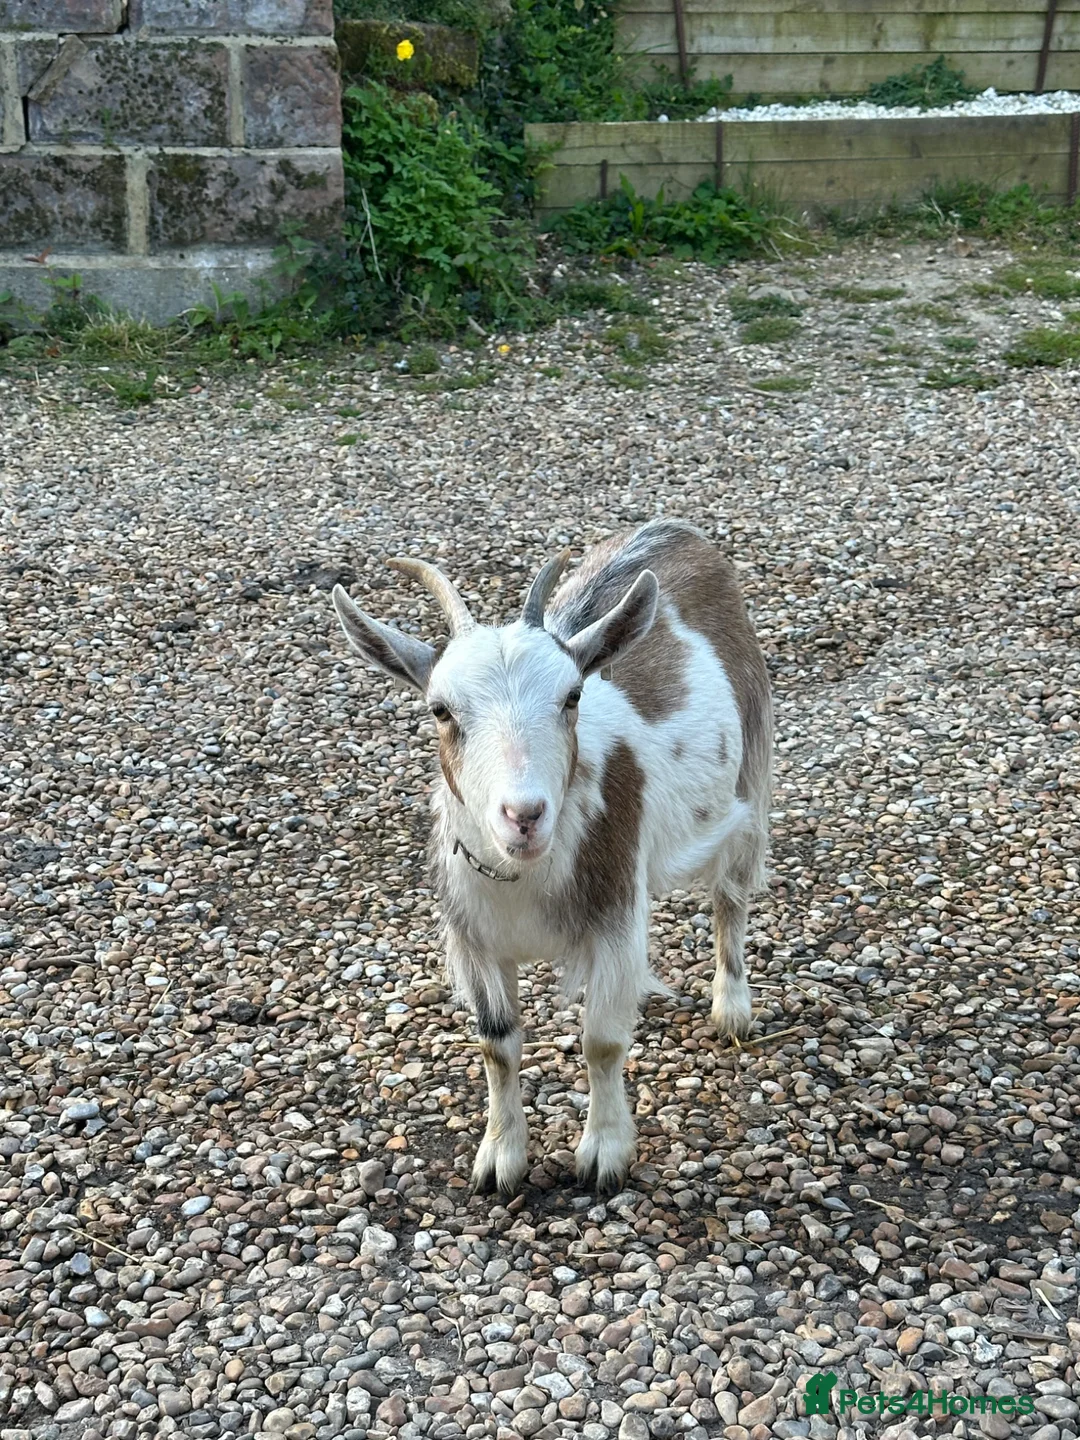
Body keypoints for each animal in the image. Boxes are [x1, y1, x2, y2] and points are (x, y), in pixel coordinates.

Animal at [331, 519, 772, 1194]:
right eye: (440, 709)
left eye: (572, 696)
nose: (525, 815)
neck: (523, 876)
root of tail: (677, 531)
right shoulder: (475, 939)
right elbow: (497, 1045)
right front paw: (500, 1158)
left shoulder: (616, 918)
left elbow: (602, 1041)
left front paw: (603, 1153)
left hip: (750, 775)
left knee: (731, 898)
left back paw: (732, 1009)